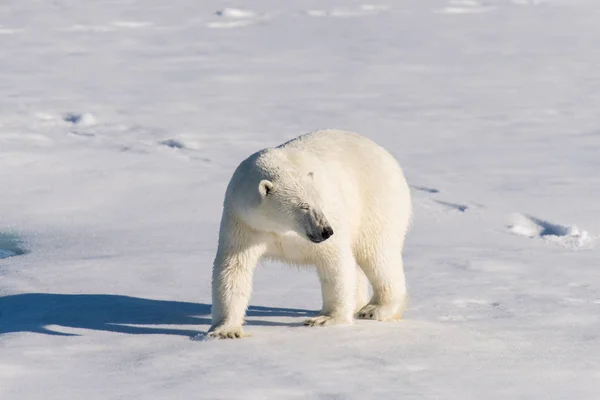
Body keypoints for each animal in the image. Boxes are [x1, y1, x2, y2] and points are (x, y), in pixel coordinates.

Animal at [207, 130, 412, 340]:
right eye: (303, 206)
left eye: (319, 203)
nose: (326, 231)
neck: (281, 228)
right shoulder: (245, 223)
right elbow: (234, 267)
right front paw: (226, 331)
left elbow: (335, 262)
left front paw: (325, 319)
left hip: (376, 203)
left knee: (377, 254)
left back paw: (376, 309)